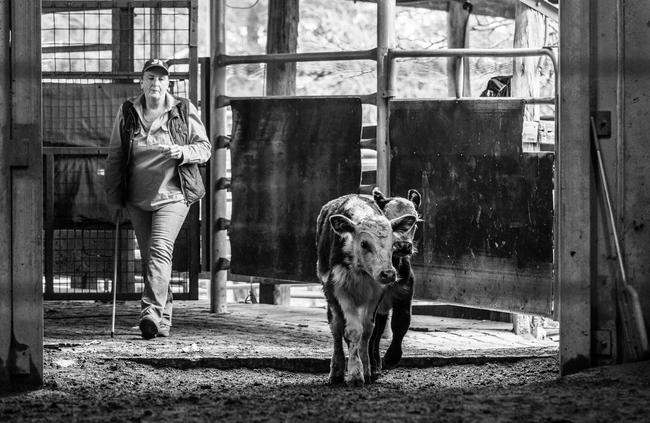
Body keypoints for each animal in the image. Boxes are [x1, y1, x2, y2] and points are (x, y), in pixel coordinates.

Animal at [318, 195, 418, 388]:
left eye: (392, 244)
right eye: (364, 243)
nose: (388, 273)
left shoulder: (379, 293)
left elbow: (368, 330)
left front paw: (367, 369)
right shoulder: (341, 289)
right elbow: (353, 331)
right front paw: (355, 374)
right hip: (330, 296)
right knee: (336, 328)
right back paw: (337, 371)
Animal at [368, 189, 422, 378]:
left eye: (415, 221)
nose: (403, 245)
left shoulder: (405, 295)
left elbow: (401, 324)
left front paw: (391, 359)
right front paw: (373, 366)